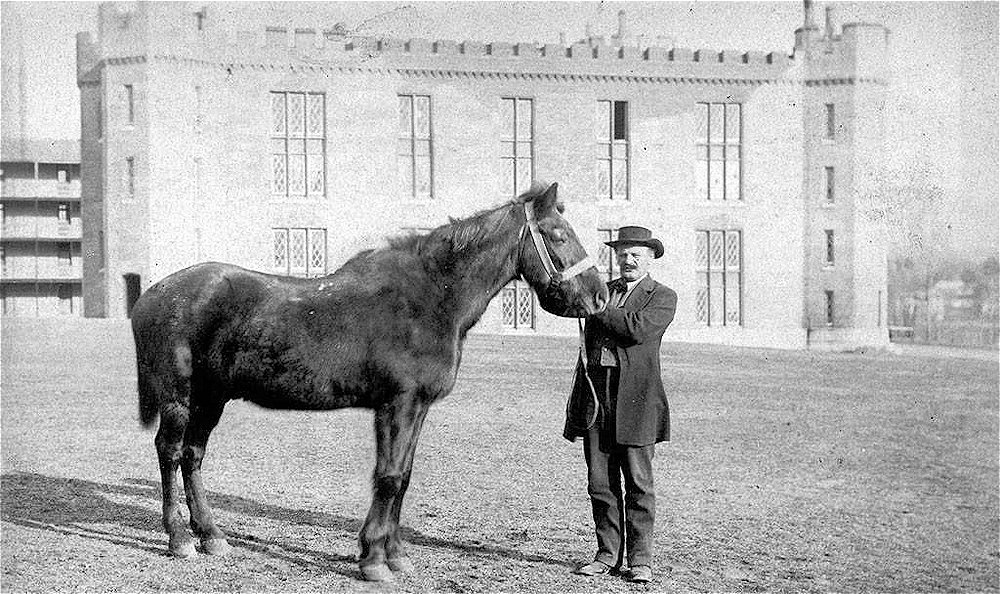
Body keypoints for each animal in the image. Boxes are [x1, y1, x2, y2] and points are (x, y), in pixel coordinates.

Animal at [130, 181, 609, 581]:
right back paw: (180, 539)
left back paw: (211, 536)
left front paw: (395, 555)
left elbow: (405, 477)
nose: (600, 296)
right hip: (180, 398)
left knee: (192, 456)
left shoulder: (418, 408)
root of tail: (151, 295)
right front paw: (375, 560)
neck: (429, 299)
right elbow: (389, 477)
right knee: (170, 452)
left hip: (211, 398)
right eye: (559, 235)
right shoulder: (398, 405)